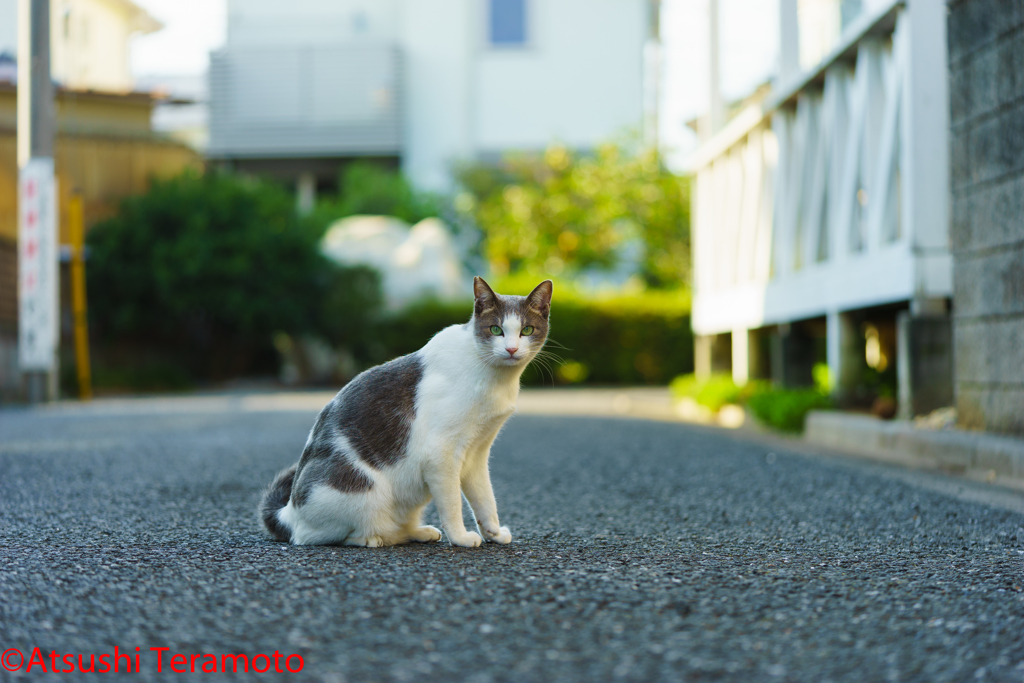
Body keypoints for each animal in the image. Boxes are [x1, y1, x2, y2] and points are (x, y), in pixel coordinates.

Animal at [260, 274, 557, 548]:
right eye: (496, 330)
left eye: (527, 330)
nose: (511, 349)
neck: (495, 378)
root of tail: (289, 511)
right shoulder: (440, 454)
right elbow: (452, 503)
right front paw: (461, 537)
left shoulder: (477, 453)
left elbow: (485, 498)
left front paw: (493, 533)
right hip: (361, 490)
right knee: (322, 535)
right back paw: (373, 538)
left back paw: (419, 531)